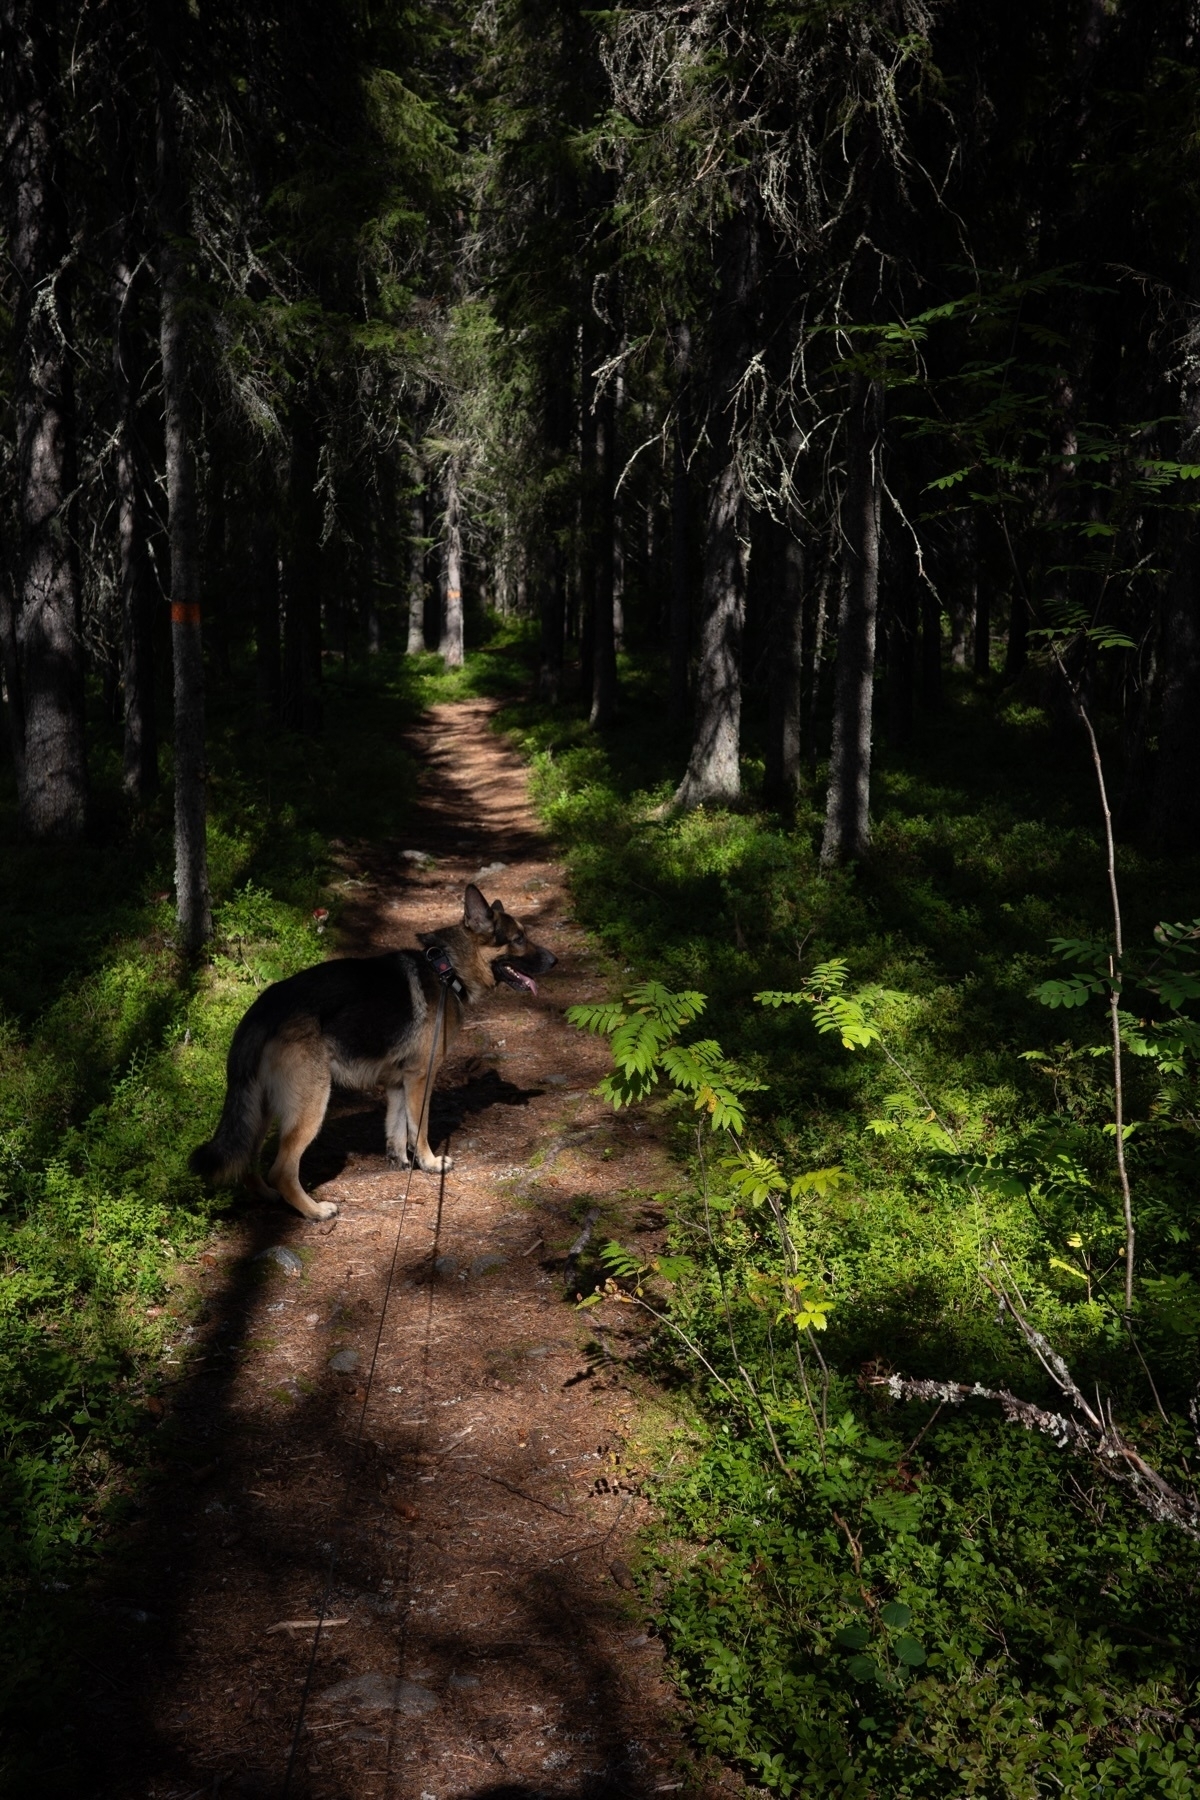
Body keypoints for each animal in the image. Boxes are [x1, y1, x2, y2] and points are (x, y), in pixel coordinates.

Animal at [191, 885, 557, 1224]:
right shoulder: (420, 1078)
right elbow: (419, 1127)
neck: (446, 968)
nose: (555, 961)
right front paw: (429, 1163)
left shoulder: (397, 1083)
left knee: (249, 1160)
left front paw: (400, 1162)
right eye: (519, 938)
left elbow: (396, 1127)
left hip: (262, 1108)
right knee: (281, 1170)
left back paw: (266, 1195)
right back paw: (315, 1210)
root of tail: (262, 1009)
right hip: (311, 1104)